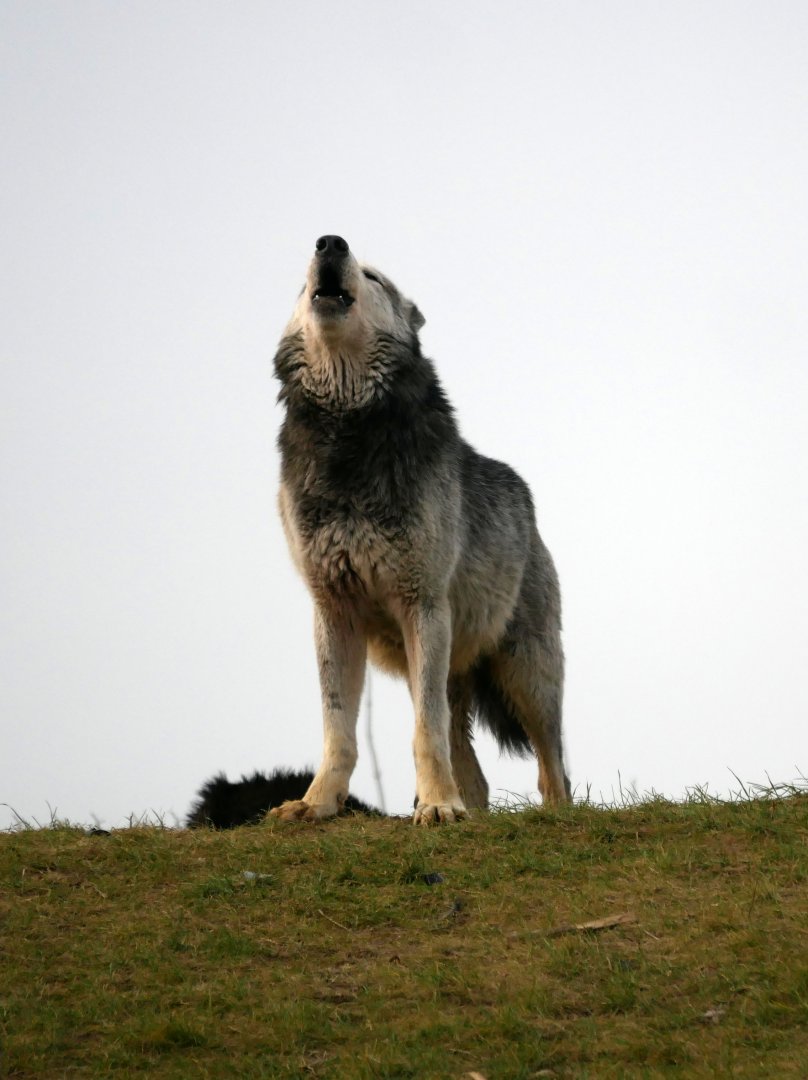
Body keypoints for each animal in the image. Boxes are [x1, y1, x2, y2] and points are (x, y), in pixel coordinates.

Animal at [272, 235, 569, 824]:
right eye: (302, 281)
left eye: (373, 277)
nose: (330, 242)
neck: (348, 434)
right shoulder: (332, 611)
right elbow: (337, 729)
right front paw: (316, 805)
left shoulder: (423, 604)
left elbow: (423, 731)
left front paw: (436, 808)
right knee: (475, 775)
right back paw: (467, 806)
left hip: (525, 674)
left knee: (556, 769)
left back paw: (552, 815)